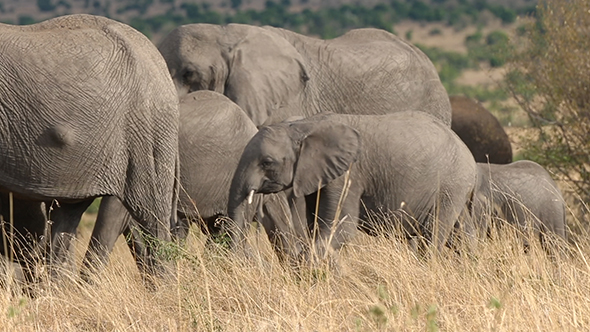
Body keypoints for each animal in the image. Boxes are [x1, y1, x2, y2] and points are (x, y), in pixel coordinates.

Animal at [229, 111, 478, 262]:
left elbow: (341, 229)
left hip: (450, 185)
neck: (304, 126)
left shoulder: (348, 175)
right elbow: (314, 227)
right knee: (462, 235)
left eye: (267, 162)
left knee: (433, 235)